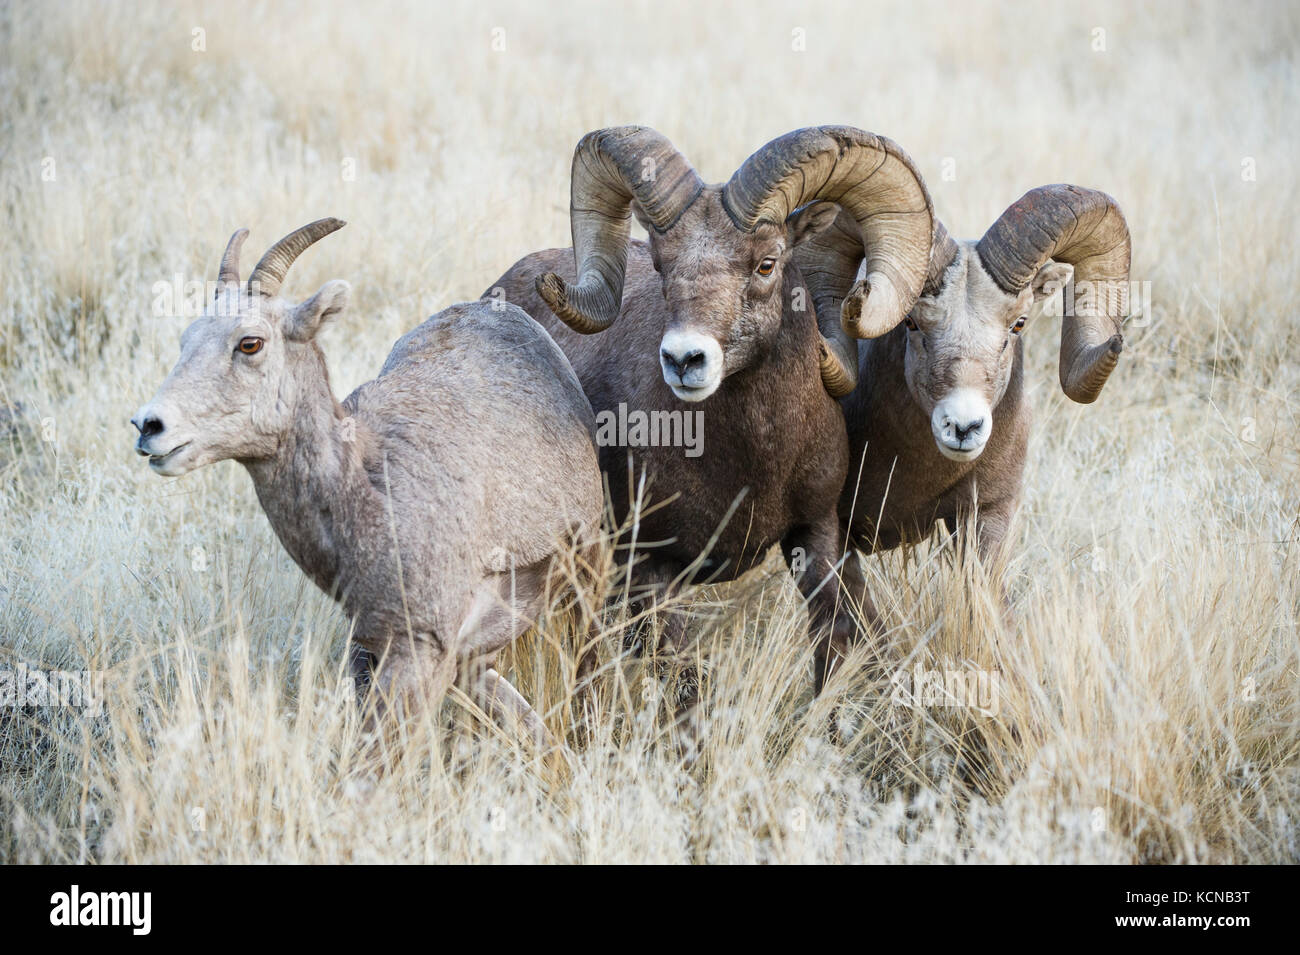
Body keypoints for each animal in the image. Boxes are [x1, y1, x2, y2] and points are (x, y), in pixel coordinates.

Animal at [131, 218, 604, 743]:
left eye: (250, 342)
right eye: (186, 340)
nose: (149, 426)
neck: (366, 491)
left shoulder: (422, 653)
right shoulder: (411, 650)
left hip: (588, 571)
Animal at [486, 126, 934, 695]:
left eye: (767, 262)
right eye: (661, 264)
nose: (684, 360)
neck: (756, 464)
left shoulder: (815, 535)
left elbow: (832, 640)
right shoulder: (650, 569)